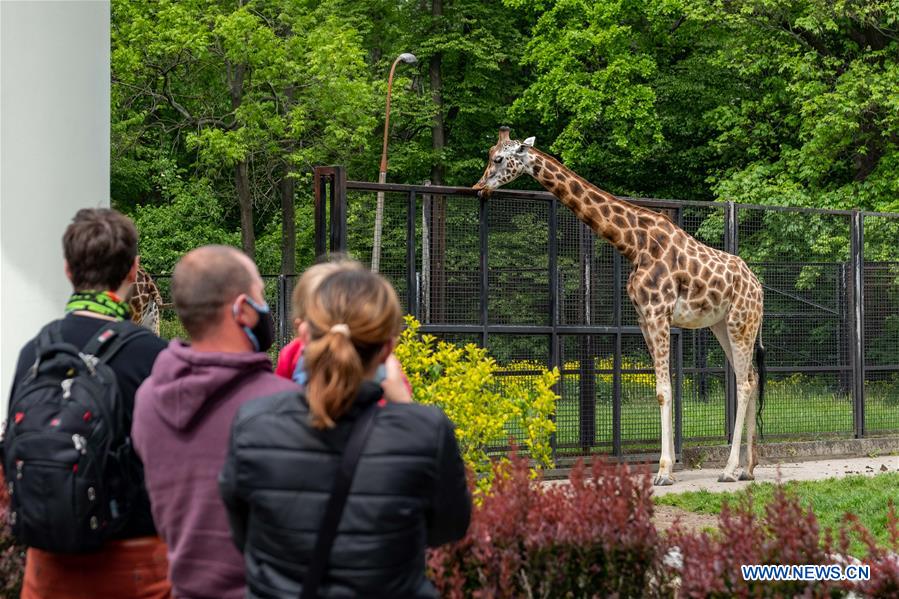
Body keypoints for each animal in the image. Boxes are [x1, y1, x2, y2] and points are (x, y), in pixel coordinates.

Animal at [472, 127, 768, 488]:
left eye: (499, 158)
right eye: (490, 154)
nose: (478, 187)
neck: (633, 244)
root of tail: (759, 287)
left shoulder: (658, 312)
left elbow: (664, 389)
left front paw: (663, 471)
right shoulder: (643, 317)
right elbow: (663, 389)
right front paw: (667, 468)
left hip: (741, 321)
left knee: (744, 383)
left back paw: (728, 469)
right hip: (722, 325)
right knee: (751, 376)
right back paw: (747, 468)